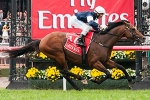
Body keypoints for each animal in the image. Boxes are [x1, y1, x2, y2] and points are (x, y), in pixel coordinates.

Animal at [5, 19, 145, 90]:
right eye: (133, 29)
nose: (143, 38)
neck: (103, 41)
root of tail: (42, 40)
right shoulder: (94, 62)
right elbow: (108, 73)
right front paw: (95, 80)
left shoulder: (106, 61)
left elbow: (121, 67)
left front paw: (130, 82)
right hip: (59, 54)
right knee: (65, 71)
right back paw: (82, 80)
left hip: (59, 58)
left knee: (64, 72)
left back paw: (78, 86)